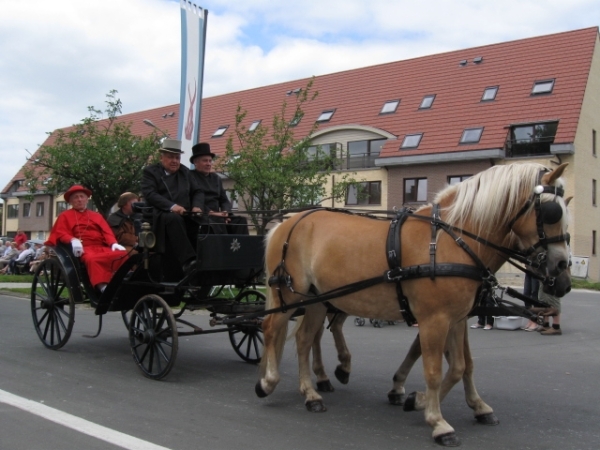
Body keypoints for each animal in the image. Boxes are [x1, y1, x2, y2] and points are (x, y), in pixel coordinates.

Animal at [255, 163, 568, 446]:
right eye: (552, 212)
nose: (562, 270)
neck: (452, 240)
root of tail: (285, 223)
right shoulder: (435, 319)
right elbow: (434, 370)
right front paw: (436, 420)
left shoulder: (456, 319)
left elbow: (462, 366)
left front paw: (450, 403)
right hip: (289, 295)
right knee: (271, 328)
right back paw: (269, 381)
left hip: (317, 300)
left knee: (305, 339)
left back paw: (311, 393)